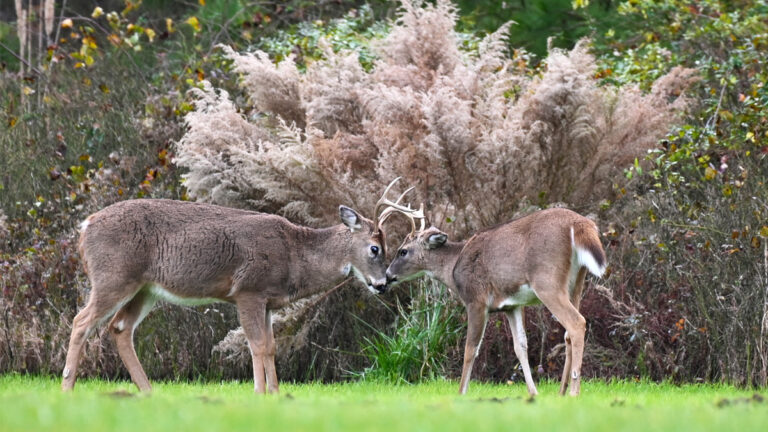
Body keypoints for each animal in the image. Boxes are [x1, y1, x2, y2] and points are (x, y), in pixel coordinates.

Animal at [62, 178, 421, 394]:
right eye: (375, 249)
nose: (383, 284)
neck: (295, 255)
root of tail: (85, 226)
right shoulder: (248, 290)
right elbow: (257, 345)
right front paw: (260, 393)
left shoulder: (269, 302)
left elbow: (271, 346)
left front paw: (275, 393)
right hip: (113, 276)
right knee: (81, 321)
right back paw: (68, 387)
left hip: (145, 288)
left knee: (120, 328)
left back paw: (148, 392)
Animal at [381, 206, 606, 396]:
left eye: (402, 251)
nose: (386, 277)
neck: (453, 267)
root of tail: (581, 224)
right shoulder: (511, 306)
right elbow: (520, 346)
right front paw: (533, 393)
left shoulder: (476, 300)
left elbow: (470, 348)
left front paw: (461, 392)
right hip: (576, 282)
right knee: (568, 333)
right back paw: (561, 391)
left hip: (547, 281)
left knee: (576, 323)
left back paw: (574, 392)